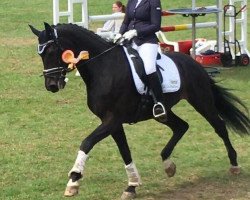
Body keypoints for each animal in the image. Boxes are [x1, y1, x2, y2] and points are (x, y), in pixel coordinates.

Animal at [29, 22, 250, 199]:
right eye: (40, 54)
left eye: (51, 51)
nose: (51, 85)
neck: (103, 68)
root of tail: (194, 63)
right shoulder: (113, 123)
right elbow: (125, 152)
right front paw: (132, 185)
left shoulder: (112, 120)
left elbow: (87, 142)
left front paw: (74, 180)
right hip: (162, 113)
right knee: (181, 126)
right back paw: (168, 164)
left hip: (201, 101)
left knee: (219, 126)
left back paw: (234, 165)